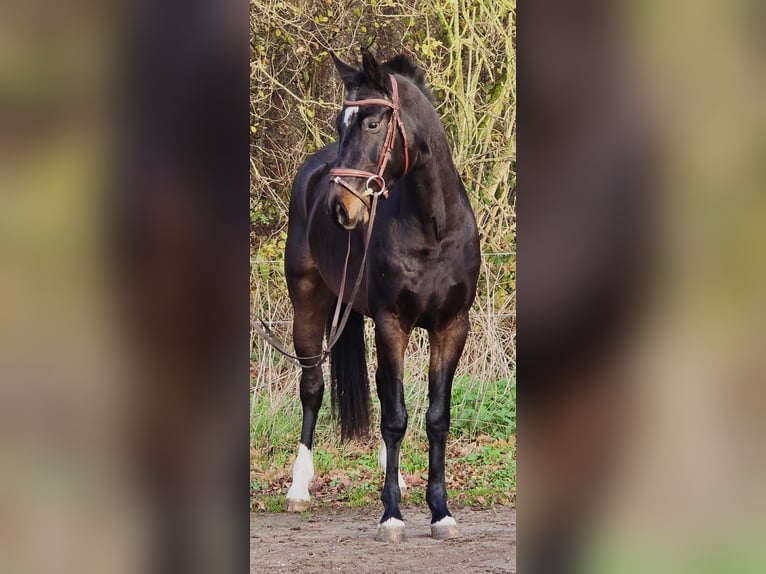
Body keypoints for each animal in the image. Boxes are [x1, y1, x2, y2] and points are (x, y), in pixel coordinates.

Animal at [282, 47, 480, 542]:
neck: (434, 228)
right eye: (341, 124)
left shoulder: (451, 327)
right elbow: (395, 417)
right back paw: (298, 489)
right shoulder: (394, 322)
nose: (341, 208)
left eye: (372, 122)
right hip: (308, 307)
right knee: (312, 389)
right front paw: (391, 515)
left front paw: (440, 512)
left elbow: (435, 417)